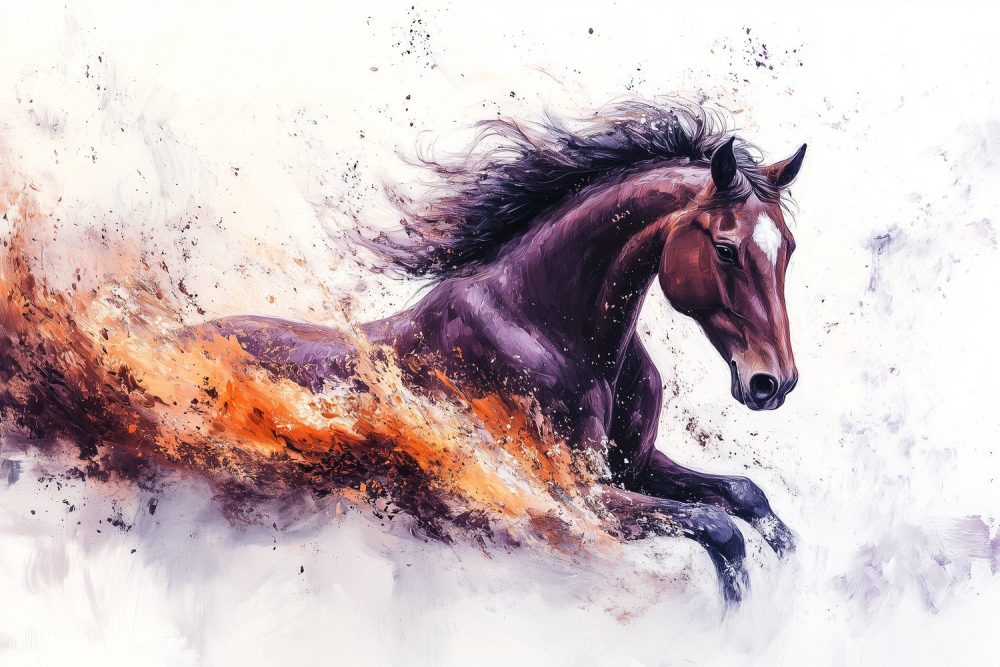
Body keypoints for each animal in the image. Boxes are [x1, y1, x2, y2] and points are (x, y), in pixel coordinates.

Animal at [201, 102, 806, 603]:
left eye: (789, 248)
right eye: (725, 249)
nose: (773, 383)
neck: (553, 330)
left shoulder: (632, 468)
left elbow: (746, 495)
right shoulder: (574, 497)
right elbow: (719, 529)